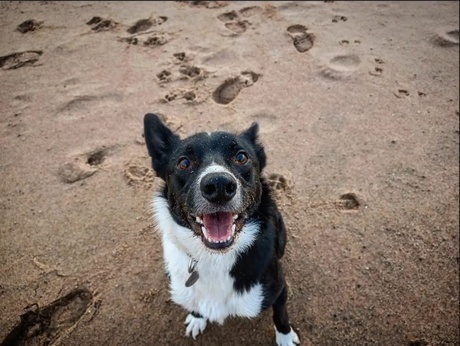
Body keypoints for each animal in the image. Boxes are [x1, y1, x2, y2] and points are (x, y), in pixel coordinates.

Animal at [146, 113, 300, 346]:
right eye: (184, 162)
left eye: (241, 157)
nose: (218, 185)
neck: (215, 257)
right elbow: (196, 304)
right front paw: (197, 318)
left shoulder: (280, 289)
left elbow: (281, 315)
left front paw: (285, 337)